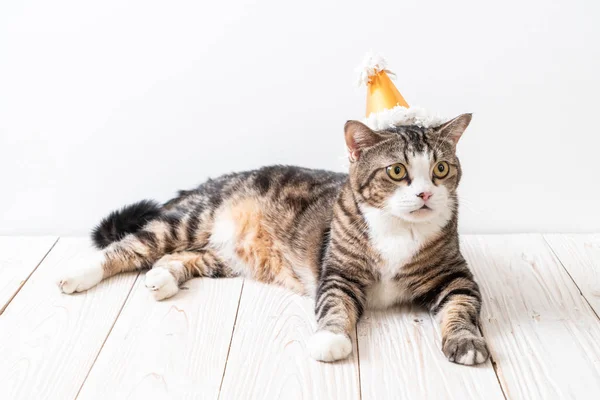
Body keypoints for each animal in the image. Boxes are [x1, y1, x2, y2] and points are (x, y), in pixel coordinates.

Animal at [57, 113, 488, 366]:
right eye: (397, 171)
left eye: (441, 168)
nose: (426, 194)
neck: (400, 230)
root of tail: (210, 182)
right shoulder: (338, 272)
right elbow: (334, 305)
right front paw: (331, 339)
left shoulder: (454, 275)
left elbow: (461, 307)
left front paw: (466, 341)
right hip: (191, 220)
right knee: (131, 246)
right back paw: (76, 275)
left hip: (225, 256)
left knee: (179, 257)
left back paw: (161, 279)